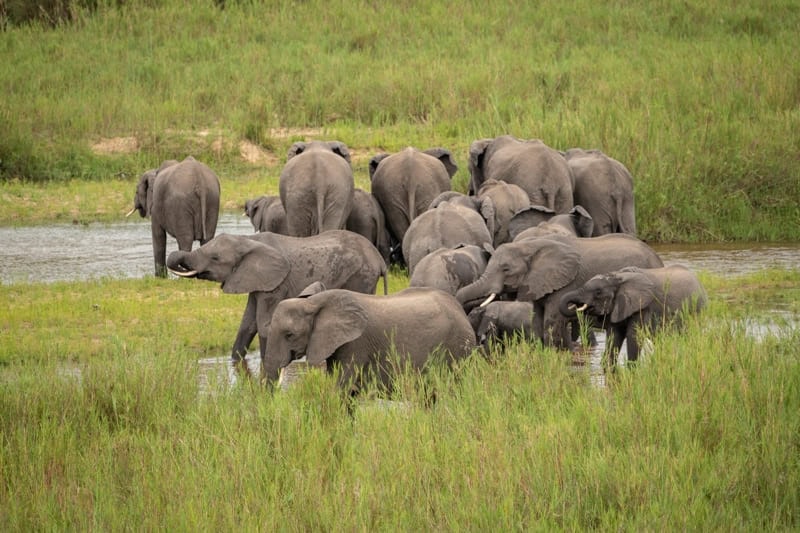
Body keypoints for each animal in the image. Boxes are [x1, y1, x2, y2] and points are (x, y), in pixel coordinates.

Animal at [166, 230, 387, 366]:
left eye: (215, 258)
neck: (248, 240)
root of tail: (379, 258)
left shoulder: (276, 284)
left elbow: (264, 323)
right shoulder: (257, 281)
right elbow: (247, 324)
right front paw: (235, 362)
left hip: (361, 276)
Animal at [559, 265, 707, 365]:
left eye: (598, 292)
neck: (617, 277)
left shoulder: (643, 306)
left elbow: (634, 335)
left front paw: (632, 368)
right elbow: (614, 335)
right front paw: (607, 366)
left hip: (696, 311)